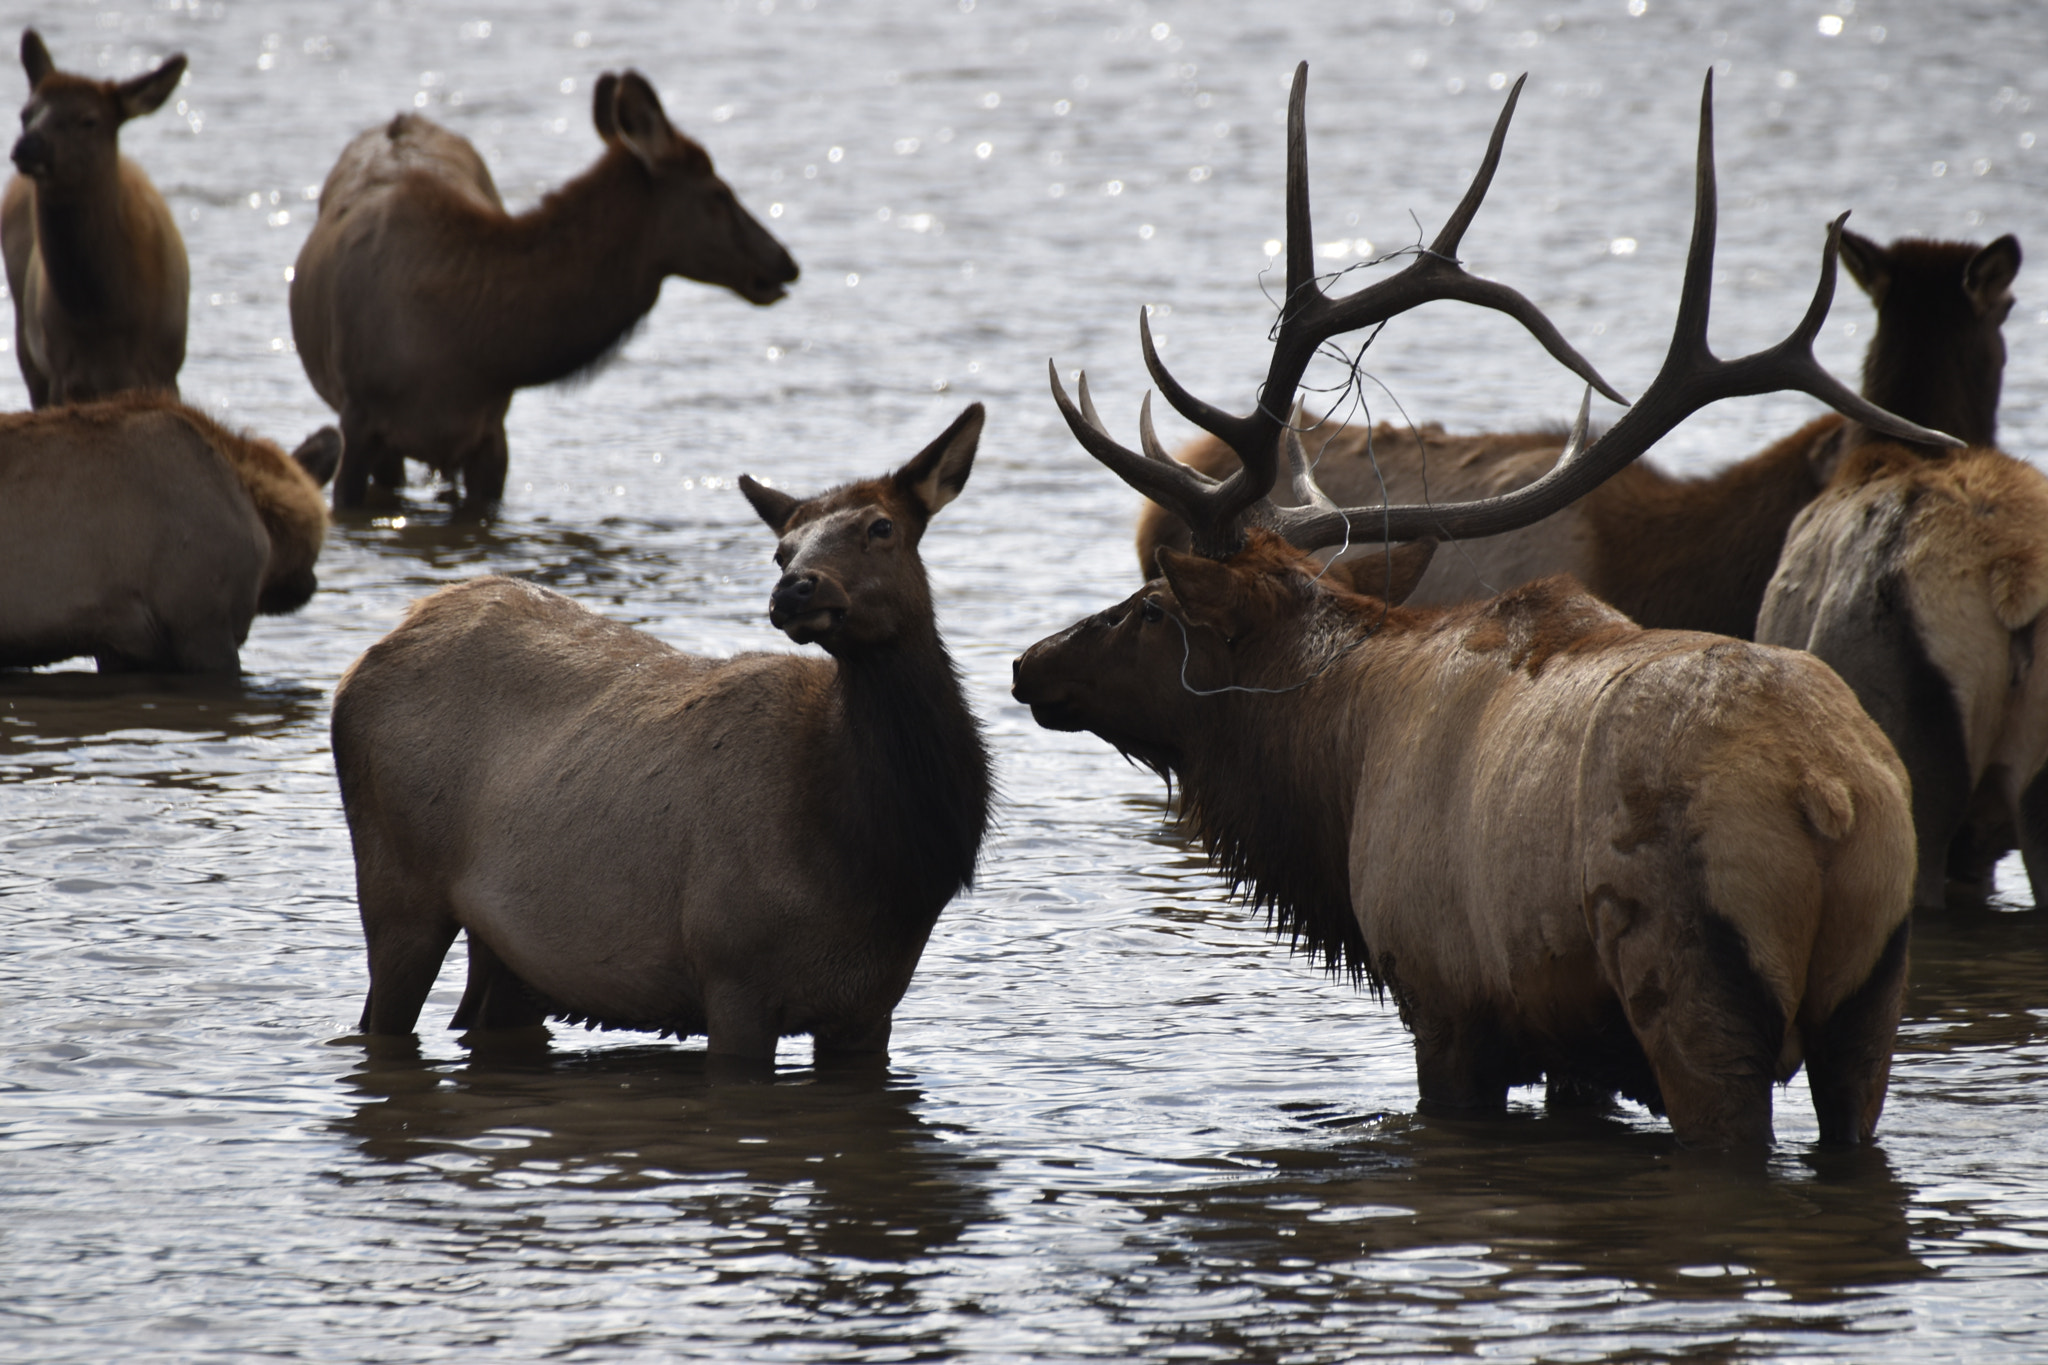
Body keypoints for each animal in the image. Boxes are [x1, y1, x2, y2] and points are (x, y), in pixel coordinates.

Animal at [2, 29, 189, 405]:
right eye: (26, 113)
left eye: (88, 119)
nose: (27, 146)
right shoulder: (61, 370)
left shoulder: (165, 369)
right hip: (28, 346)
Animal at [331, 405, 995, 1064]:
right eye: (781, 551)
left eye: (881, 526)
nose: (795, 587)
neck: (881, 860)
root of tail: (364, 660)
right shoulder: (733, 974)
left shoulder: (870, 1006)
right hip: (397, 890)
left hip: (506, 953)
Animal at [1024, 66, 1933, 1154]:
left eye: (1152, 607)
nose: (1029, 662)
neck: (1335, 759)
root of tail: (1825, 795)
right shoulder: (1572, 1046)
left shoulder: (1447, 997)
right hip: (1872, 995)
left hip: (1687, 982)